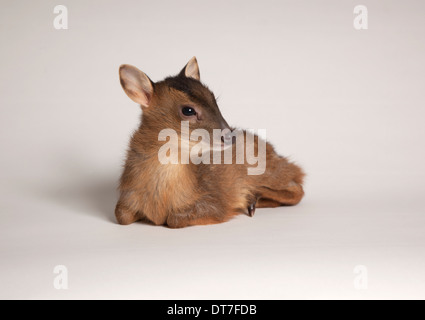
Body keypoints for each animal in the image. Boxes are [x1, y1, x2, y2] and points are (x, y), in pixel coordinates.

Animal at [114, 57, 304, 228]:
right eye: (188, 110)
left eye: (214, 100)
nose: (230, 136)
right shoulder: (126, 198)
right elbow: (121, 215)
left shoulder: (215, 202)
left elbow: (175, 219)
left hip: (268, 170)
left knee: (297, 185)